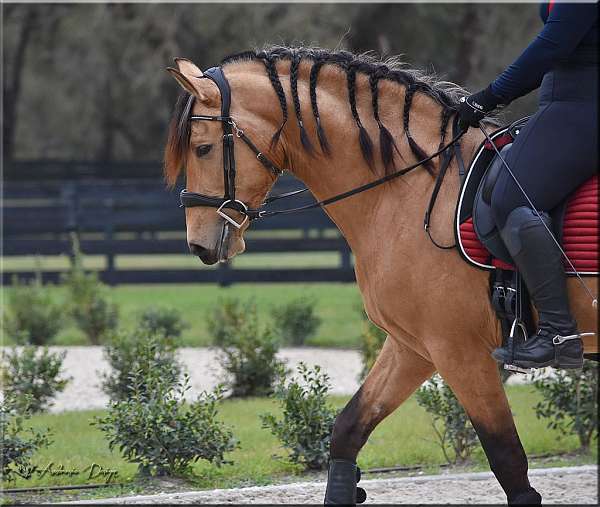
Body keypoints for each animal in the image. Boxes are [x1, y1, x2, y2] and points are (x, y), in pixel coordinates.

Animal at [162, 46, 596, 504]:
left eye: (203, 148)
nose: (199, 245)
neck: (410, 190)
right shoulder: (414, 347)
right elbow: (348, 429)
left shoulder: (459, 352)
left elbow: (507, 459)